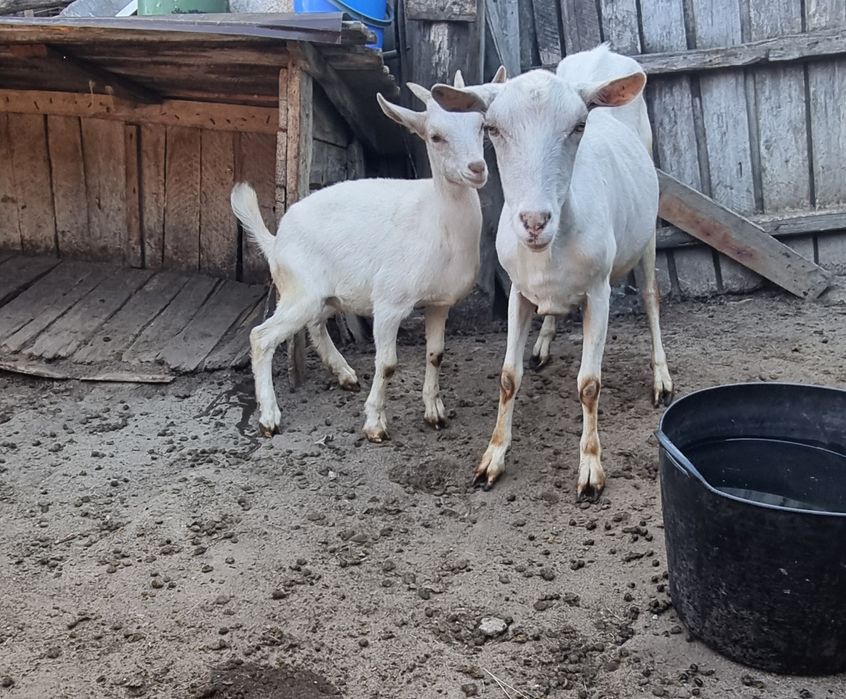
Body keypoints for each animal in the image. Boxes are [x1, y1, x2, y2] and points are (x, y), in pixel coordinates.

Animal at [230, 69, 504, 441]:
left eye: (481, 126)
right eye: (435, 136)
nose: (476, 168)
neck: (436, 222)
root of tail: (275, 239)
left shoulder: (439, 303)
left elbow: (436, 354)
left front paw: (435, 412)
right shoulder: (389, 302)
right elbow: (387, 364)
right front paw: (375, 424)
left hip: (323, 294)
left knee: (315, 324)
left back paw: (344, 373)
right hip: (300, 290)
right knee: (261, 337)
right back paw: (269, 417)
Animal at [432, 55, 673, 500]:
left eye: (579, 125)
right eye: (491, 128)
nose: (534, 221)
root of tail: (602, 54)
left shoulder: (598, 292)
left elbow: (589, 384)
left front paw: (591, 469)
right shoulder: (518, 292)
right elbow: (508, 377)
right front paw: (491, 459)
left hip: (647, 232)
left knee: (651, 297)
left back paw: (661, 379)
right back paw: (543, 343)